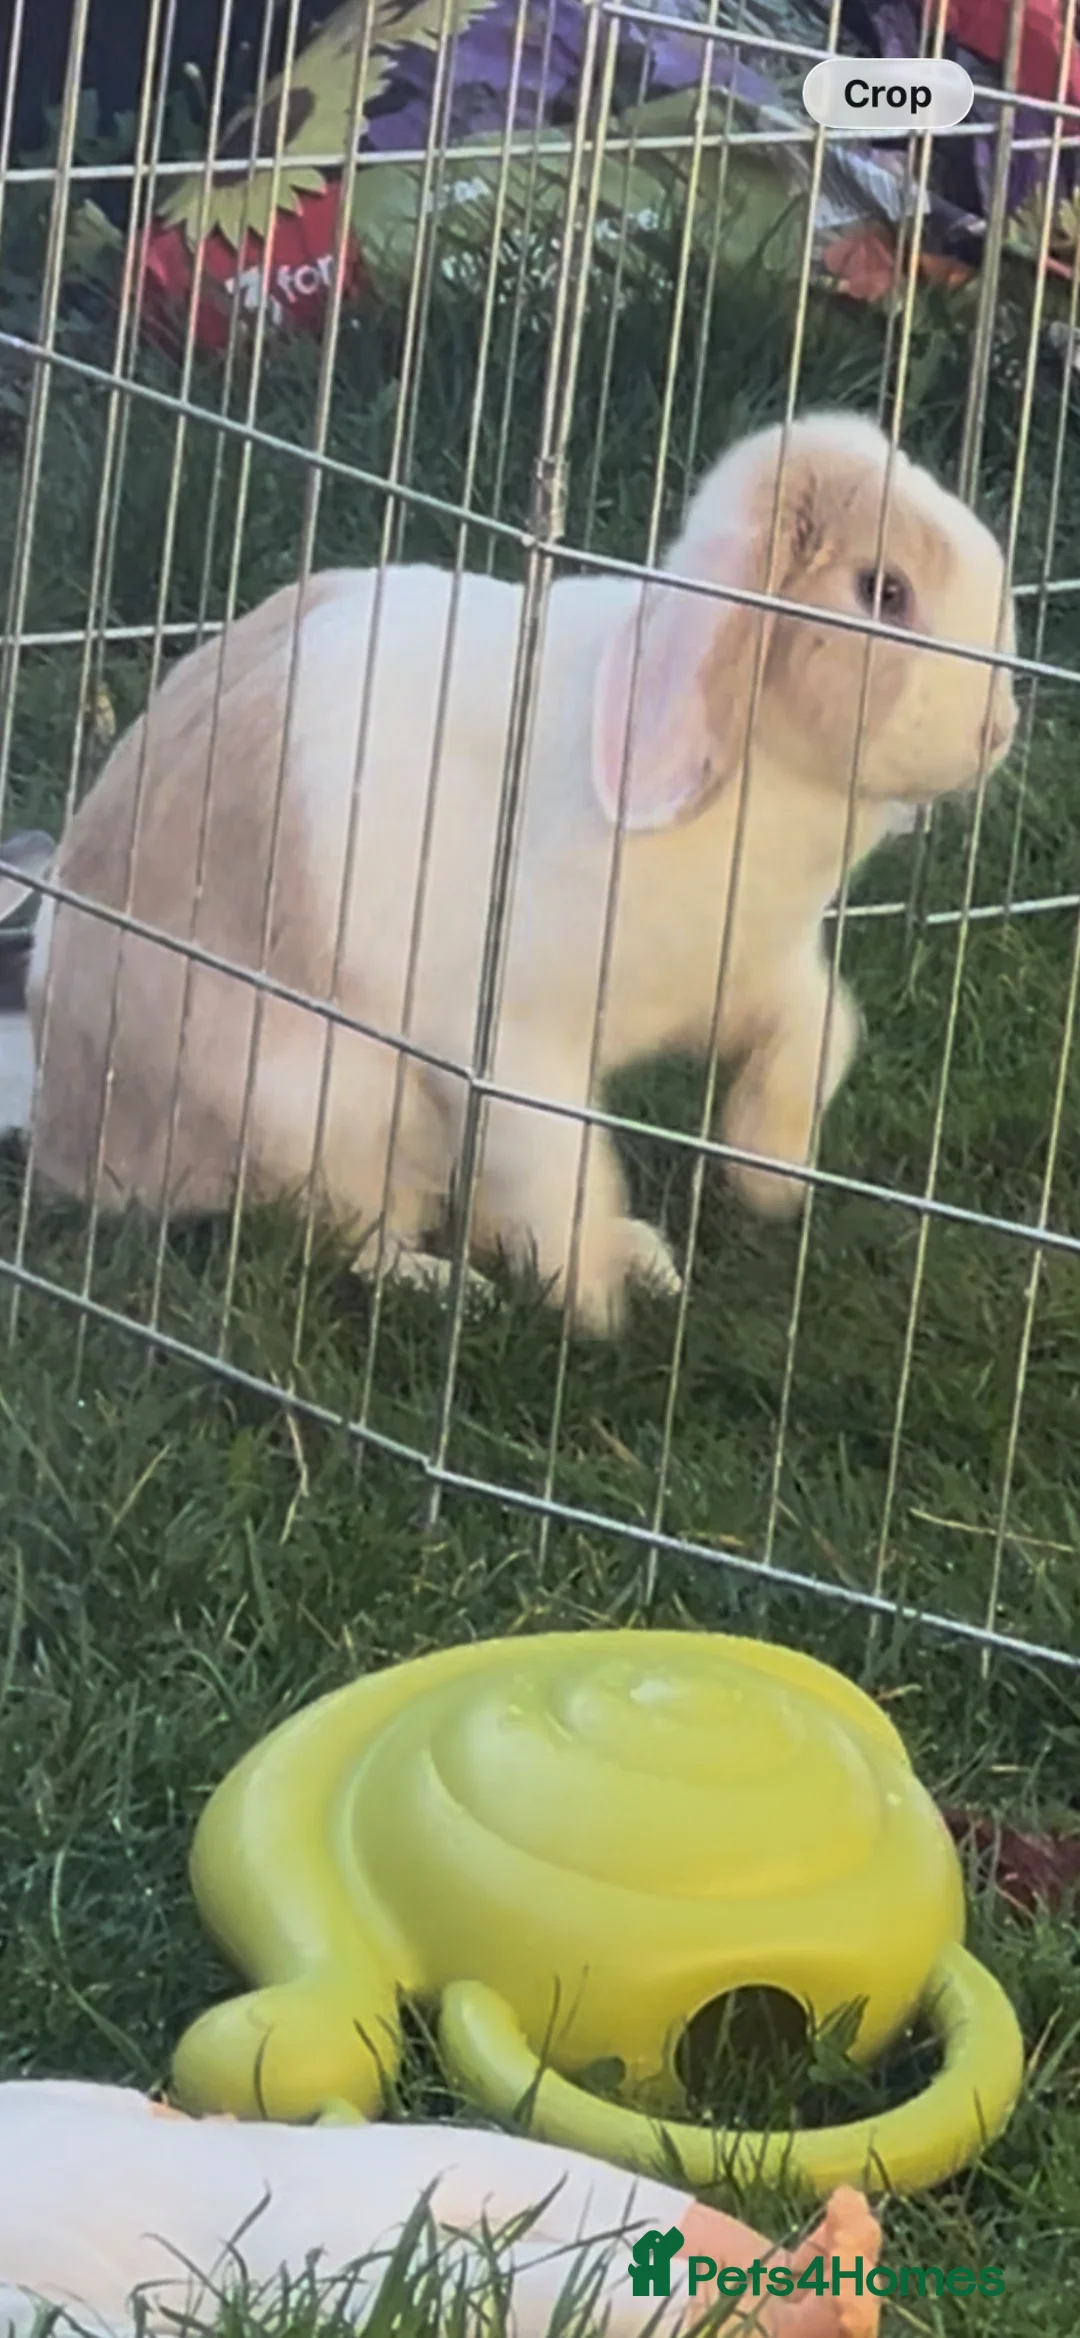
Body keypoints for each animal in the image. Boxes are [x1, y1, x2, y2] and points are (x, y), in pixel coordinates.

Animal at [13, 411, 1016, 1333]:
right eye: (884, 591)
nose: (999, 728)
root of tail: (71, 1132)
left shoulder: (755, 975)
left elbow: (824, 1030)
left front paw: (768, 1177)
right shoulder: (512, 1050)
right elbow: (562, 1165)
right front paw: (598, 1307)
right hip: (321, 1106)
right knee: (344, 1233)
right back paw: (456, 1286)